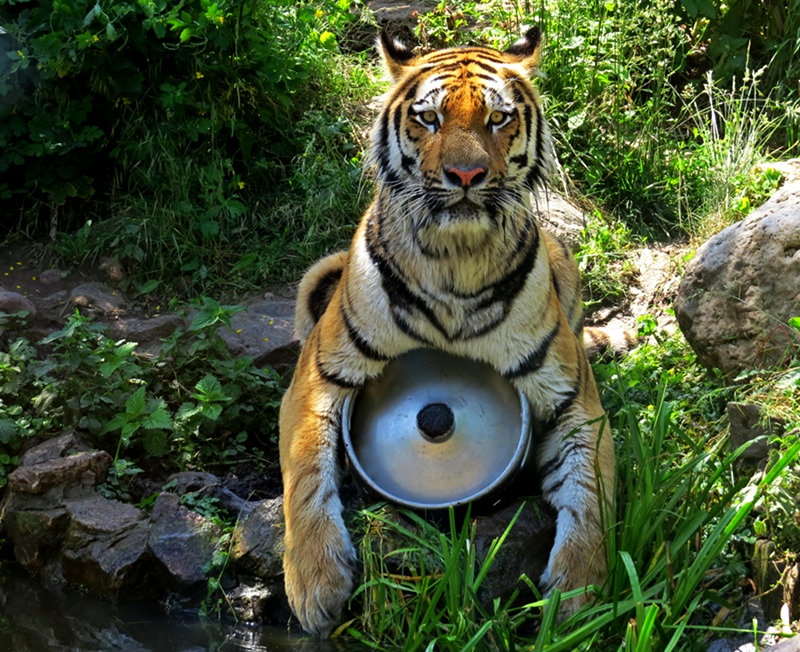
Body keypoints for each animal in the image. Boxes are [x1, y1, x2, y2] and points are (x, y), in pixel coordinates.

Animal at [282, 28, 620, 636]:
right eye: (430, 118)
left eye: (497, 119)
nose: (465, 177)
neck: (456, 260)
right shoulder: (319, 376)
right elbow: (305, 470)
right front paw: (315, 586)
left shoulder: (572, 398)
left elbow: (592, 492)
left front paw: (579, 597)